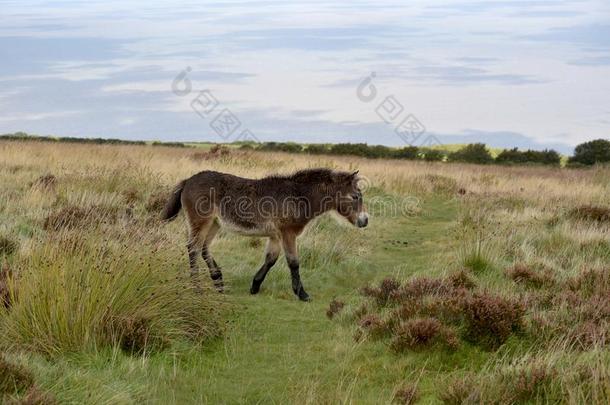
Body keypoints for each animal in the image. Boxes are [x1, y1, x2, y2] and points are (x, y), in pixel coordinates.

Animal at [162, 167, 366, 300]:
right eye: (355, 196)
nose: (365, 221)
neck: (298, 196)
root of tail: (188, 180)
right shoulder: (288, 233)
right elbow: (293, 262)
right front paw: (302, 294)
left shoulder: (276, 236)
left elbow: (271, 260)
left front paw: (255, 286)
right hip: (201, 222)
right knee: (193, 249)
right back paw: (197, 288)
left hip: (214, 224)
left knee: (203, 248)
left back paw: (218, 281)